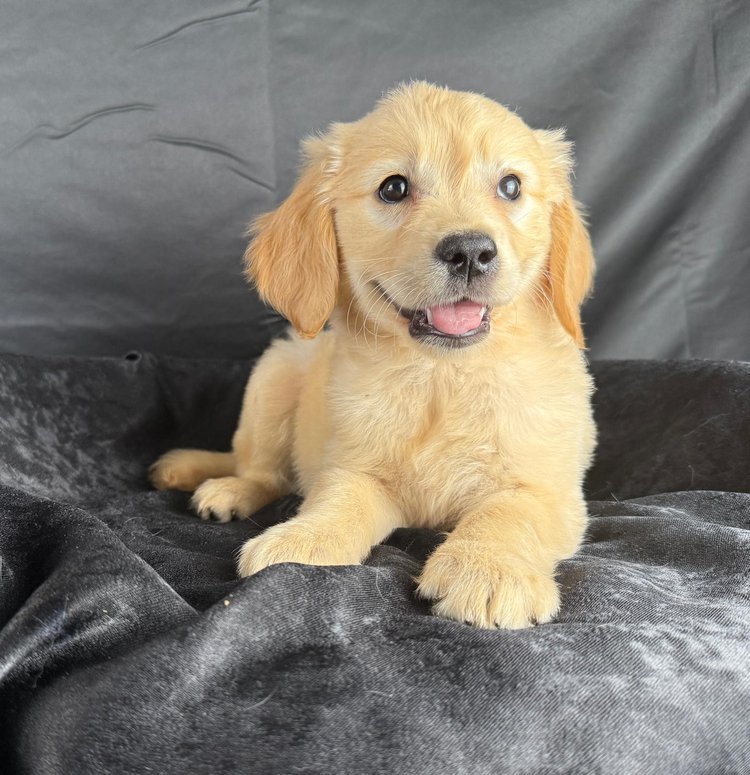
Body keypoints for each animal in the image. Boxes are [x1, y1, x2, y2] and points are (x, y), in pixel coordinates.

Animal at [150, 82, 596, 629]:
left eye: (510, 187)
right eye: (394, 188)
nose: (470, 252)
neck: (441, 374)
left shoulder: (550, 488)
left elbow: (510, 513)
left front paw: (488, 570)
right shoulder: (353, 465)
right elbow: (339, 500)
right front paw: (305, 538)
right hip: (275, 376)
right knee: (261, 468)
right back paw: (230, 490)